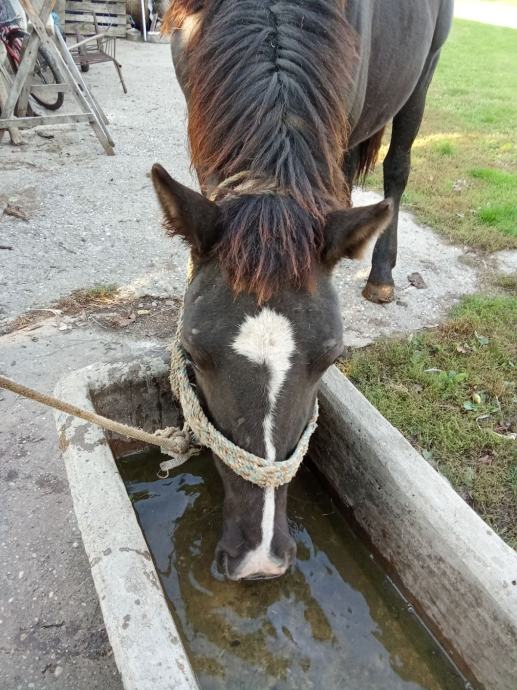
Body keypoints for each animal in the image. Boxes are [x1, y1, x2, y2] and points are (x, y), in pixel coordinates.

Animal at [153, 1, 452, 580]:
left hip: (422, 75)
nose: (259, 560)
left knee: (397, 166)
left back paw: (381, 276)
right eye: (193, 355)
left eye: (332, 358)